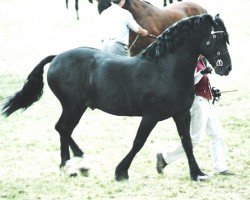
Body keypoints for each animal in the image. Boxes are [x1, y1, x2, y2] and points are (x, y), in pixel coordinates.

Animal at [2, 14, 231, 181]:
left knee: (64, 130)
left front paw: (197, 174)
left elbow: (187, 142)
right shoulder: (151, 116)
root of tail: (57, 57)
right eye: (217, 38)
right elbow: (138, 142)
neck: (165, 70)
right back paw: (77, 165)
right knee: (63, 129)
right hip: (73, 106)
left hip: (76, 107)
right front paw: (121, 171)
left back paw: (72, 167)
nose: (227, 68)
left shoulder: (181, 114)